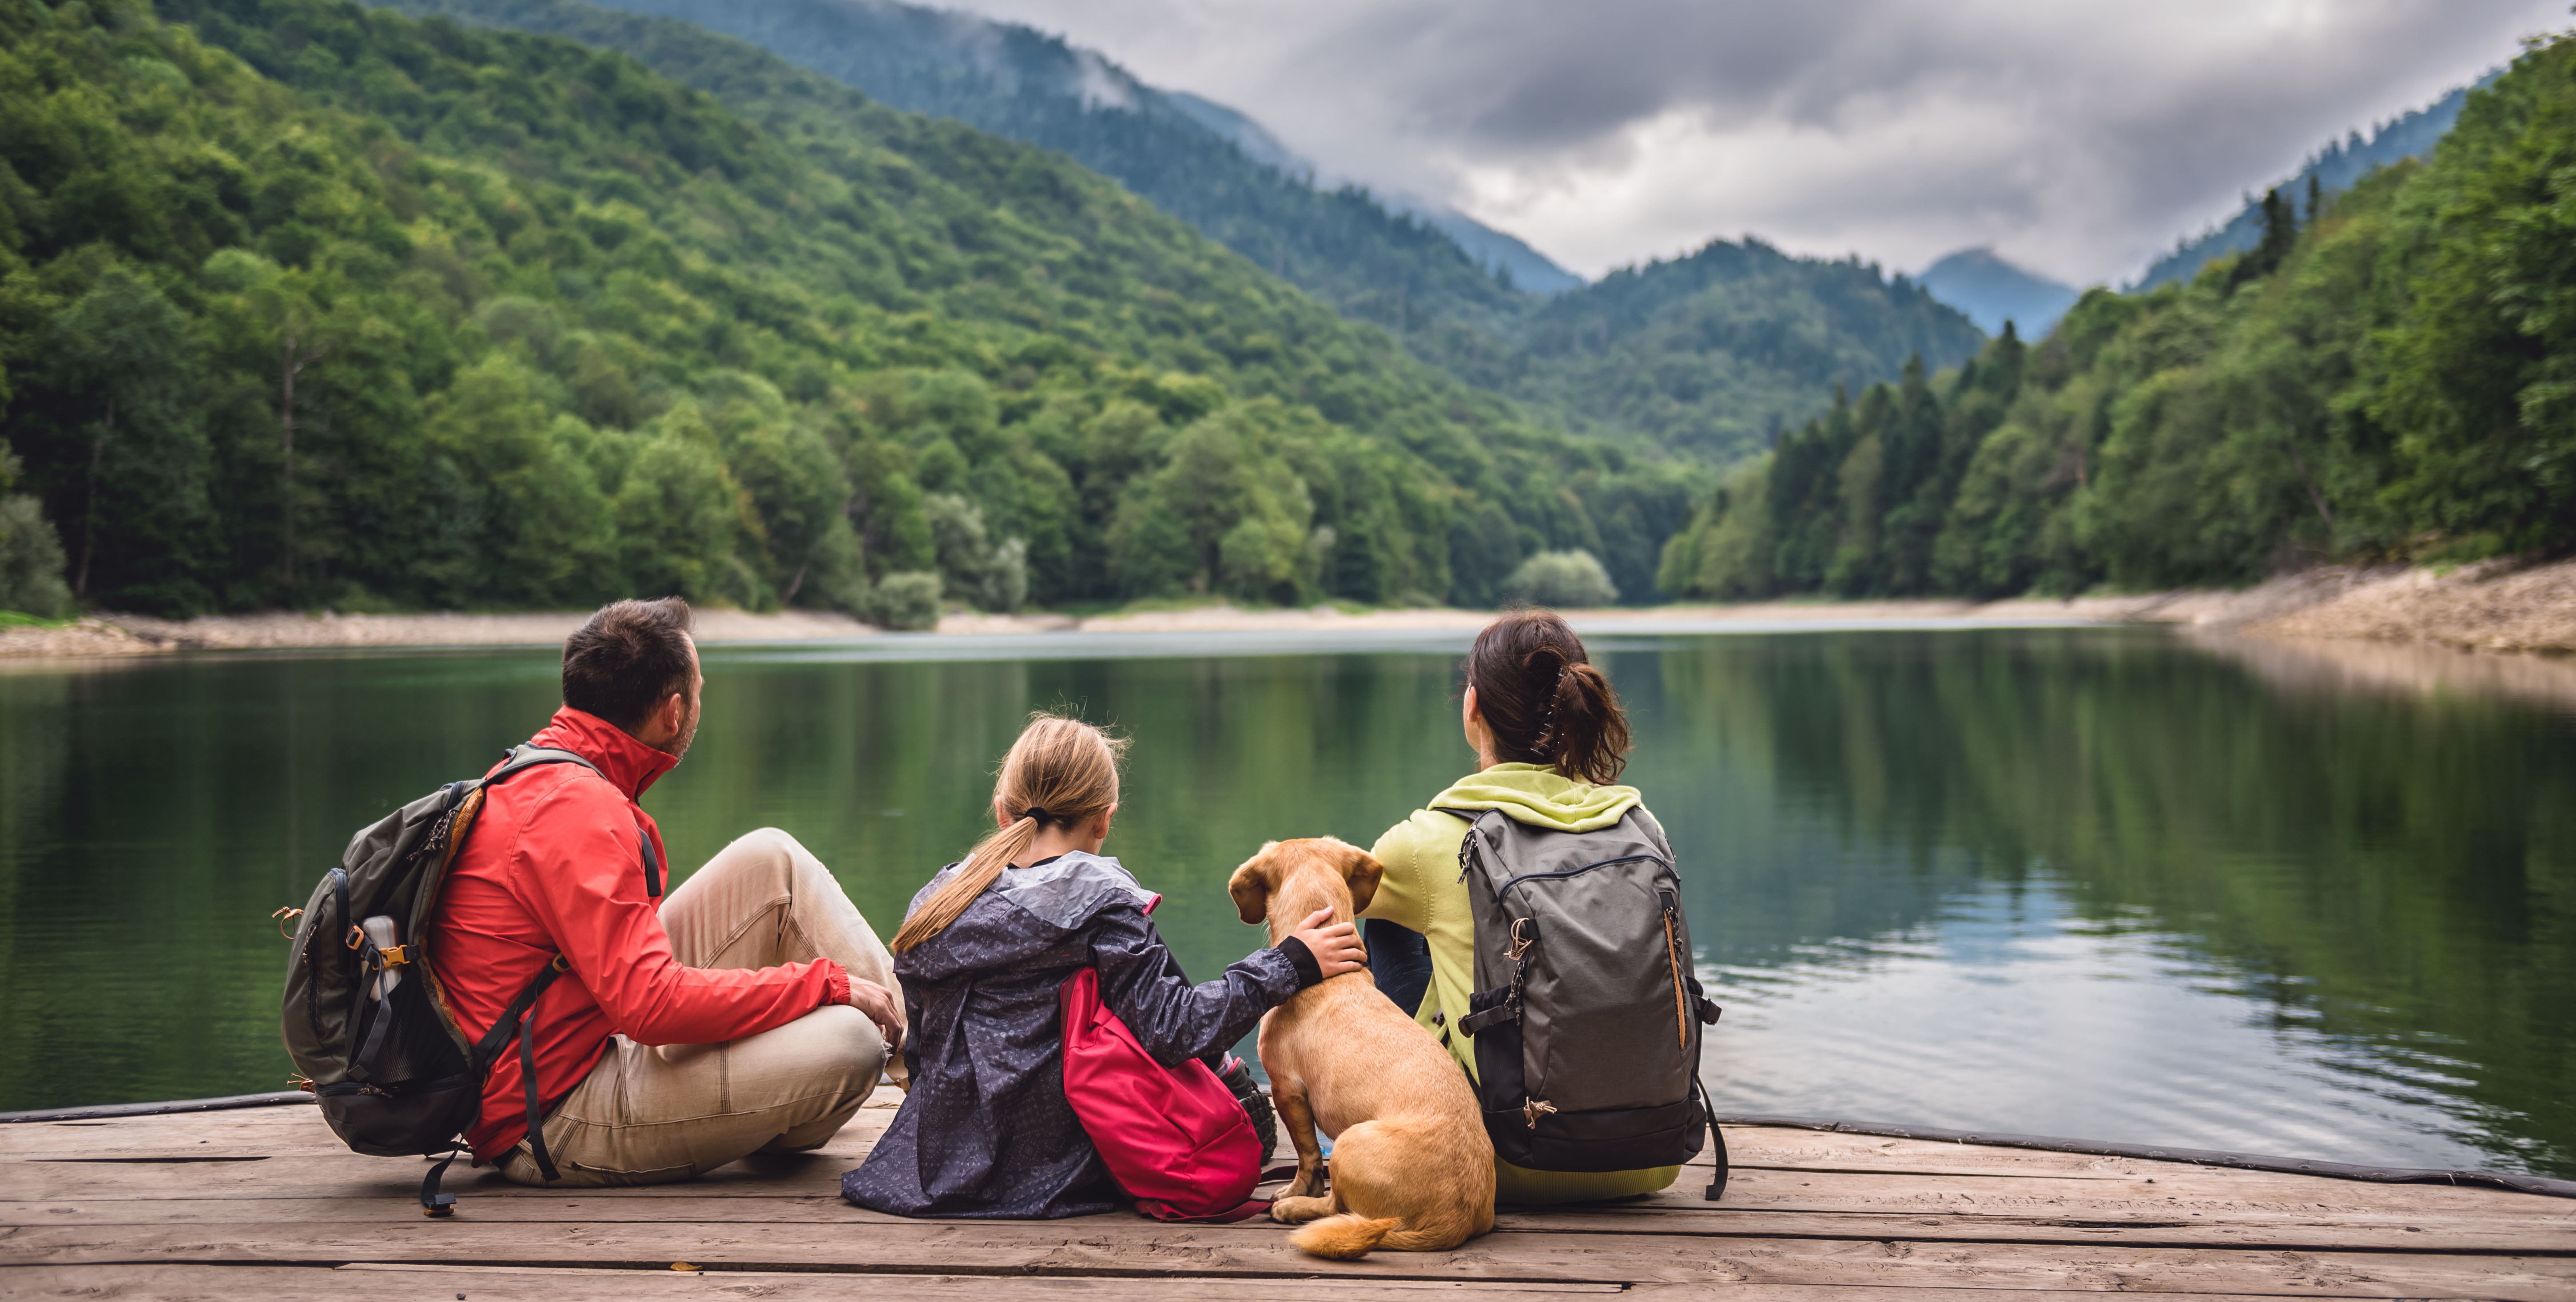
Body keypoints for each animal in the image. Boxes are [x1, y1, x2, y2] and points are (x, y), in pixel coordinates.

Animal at [1221, 838, 1494, 1255]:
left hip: (1348, 1143)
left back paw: (1293, 1209)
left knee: (1336, 1206)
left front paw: (1294, 1192)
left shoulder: (1287, 1090)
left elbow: (1307, 1156)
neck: (1329, 976)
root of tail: (1453, 1222)